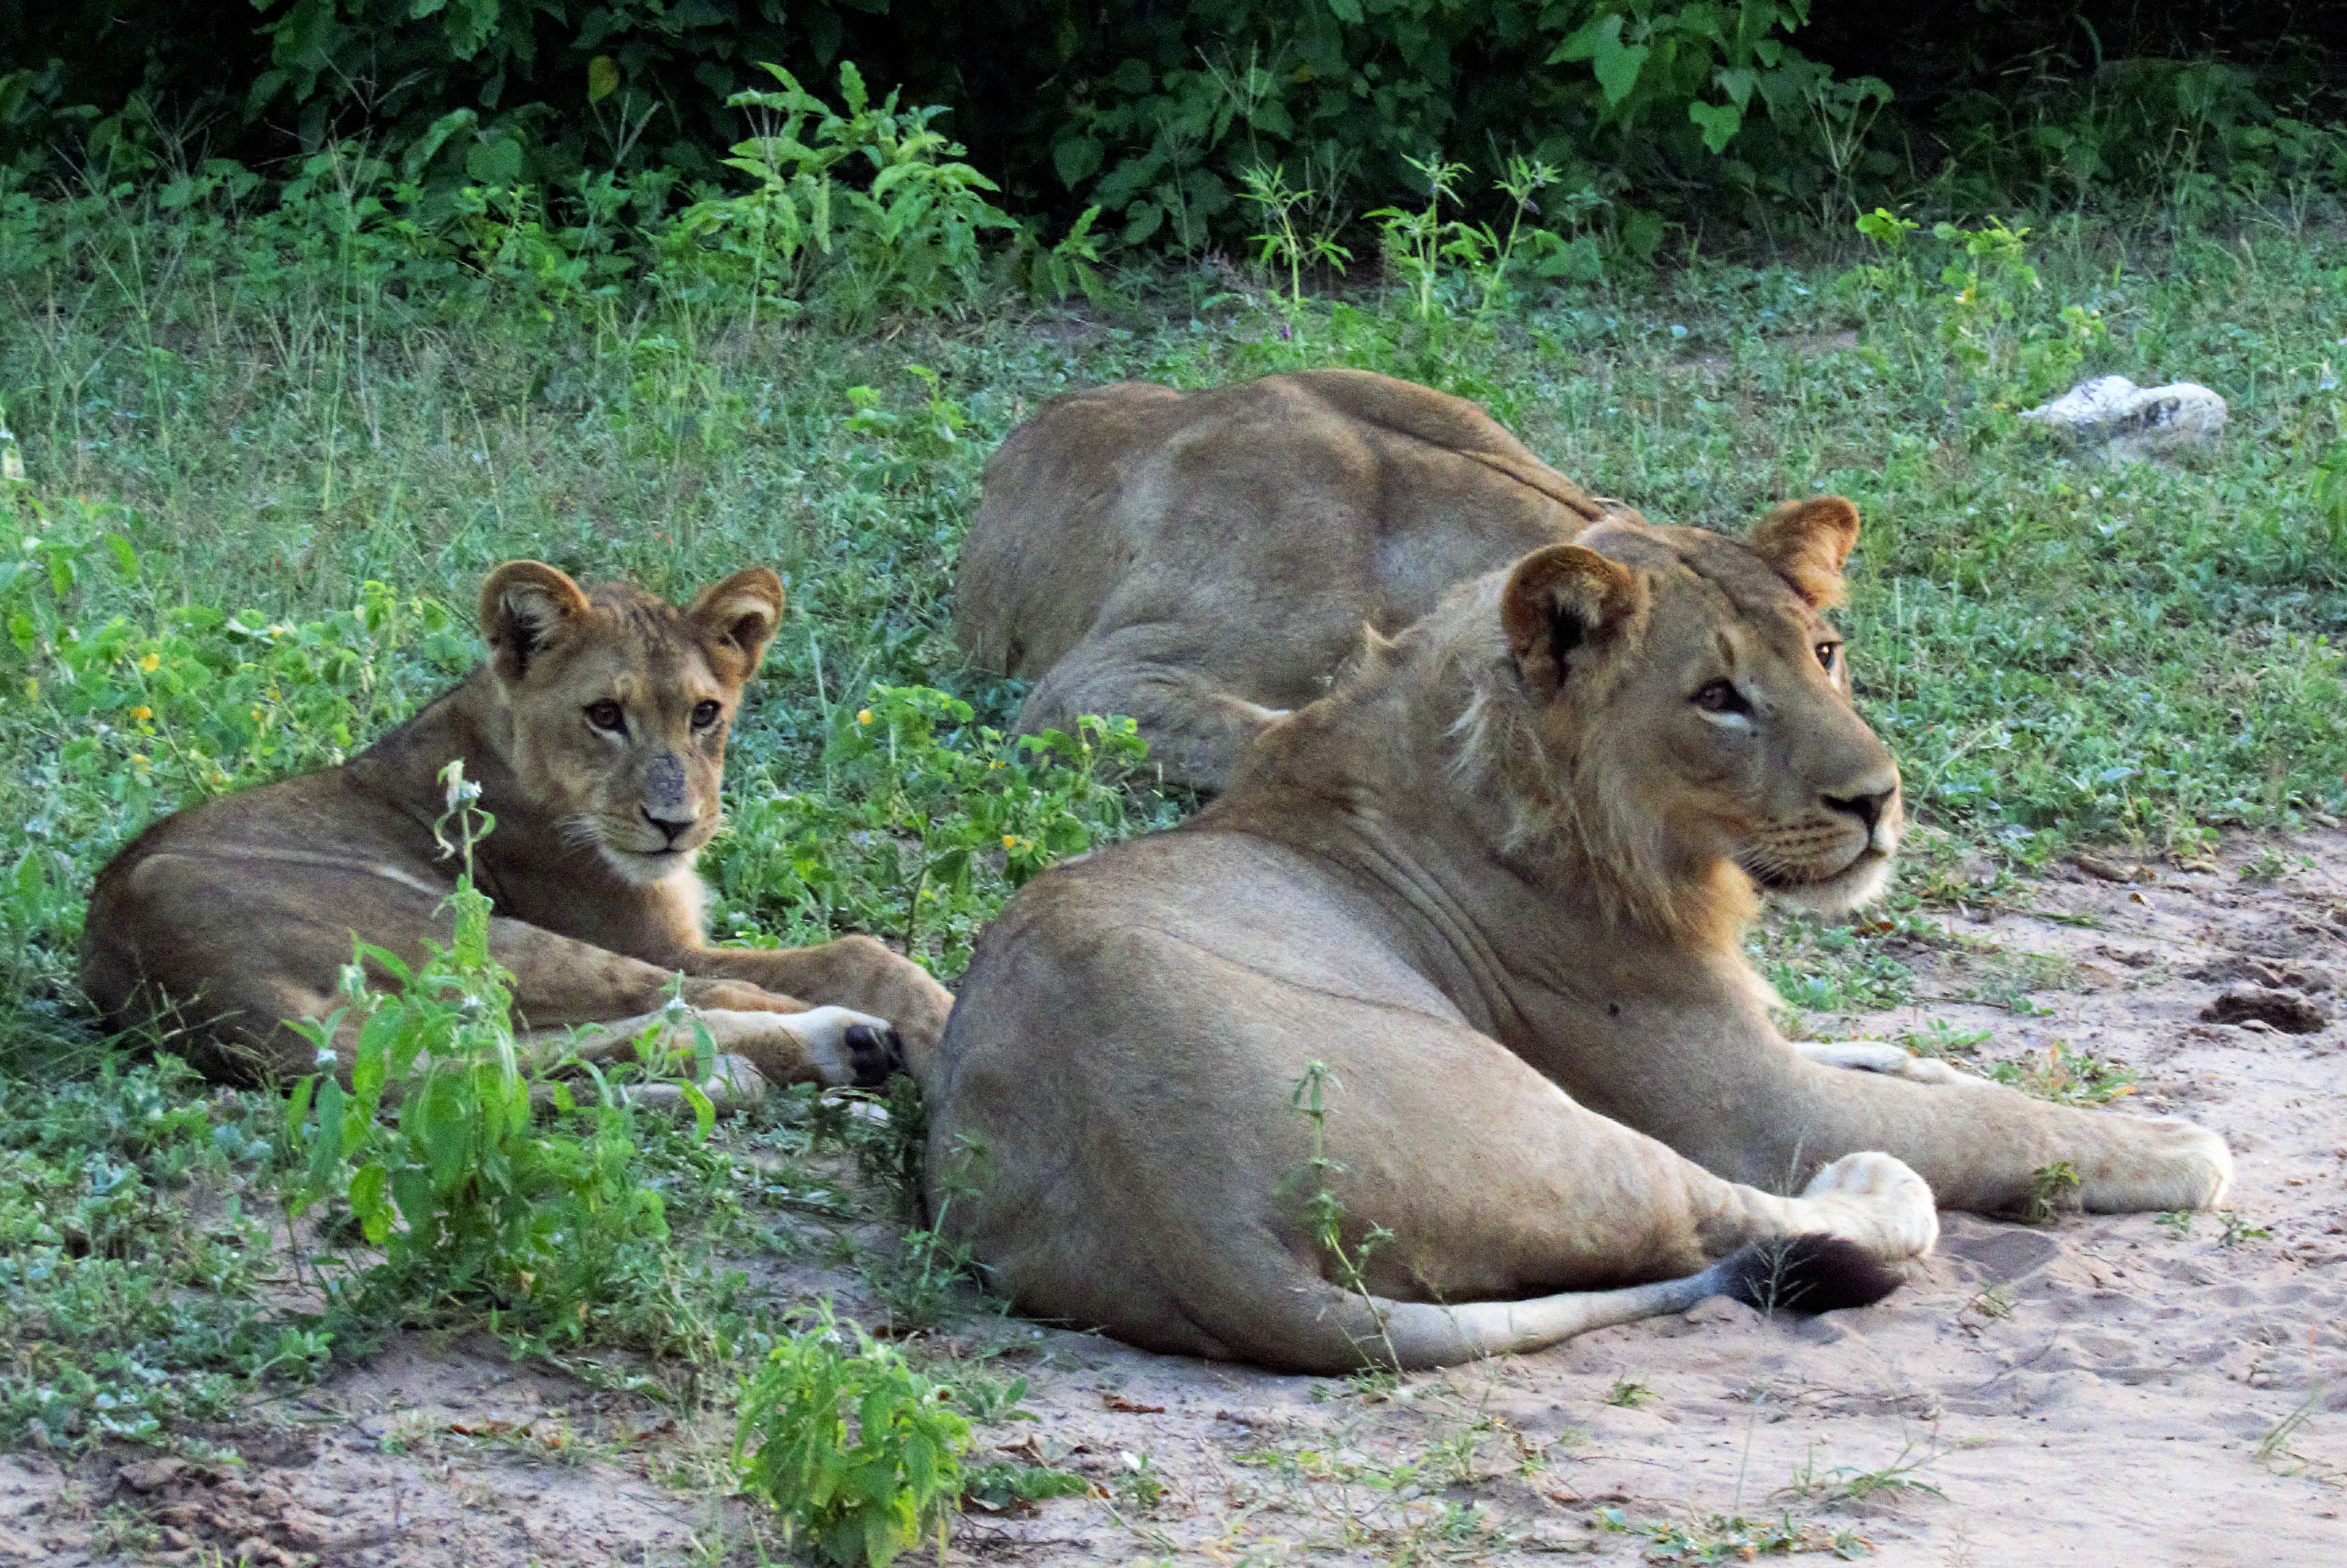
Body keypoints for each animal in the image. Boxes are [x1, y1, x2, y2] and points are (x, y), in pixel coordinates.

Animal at [83, 561, 953, 1094]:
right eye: (604, 715)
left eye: (705, 714)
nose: (675, 826)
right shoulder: (657, 940)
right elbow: (855, 953)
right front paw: (942, 1019)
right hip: (466, 926)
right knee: (697, 997)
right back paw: (850, 1039)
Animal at [922, 503, 2232, 1372]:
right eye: (1717, 697)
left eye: (1823, 654)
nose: (1879, 798)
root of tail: (1183, 1221)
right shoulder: (1745, 1099)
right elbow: (1997, 1124)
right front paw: (2173, 1142)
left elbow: (1906, 1064)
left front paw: (1921, 1058)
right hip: (1540, 1118)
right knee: (1735, 1213)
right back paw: (1872, 1184)